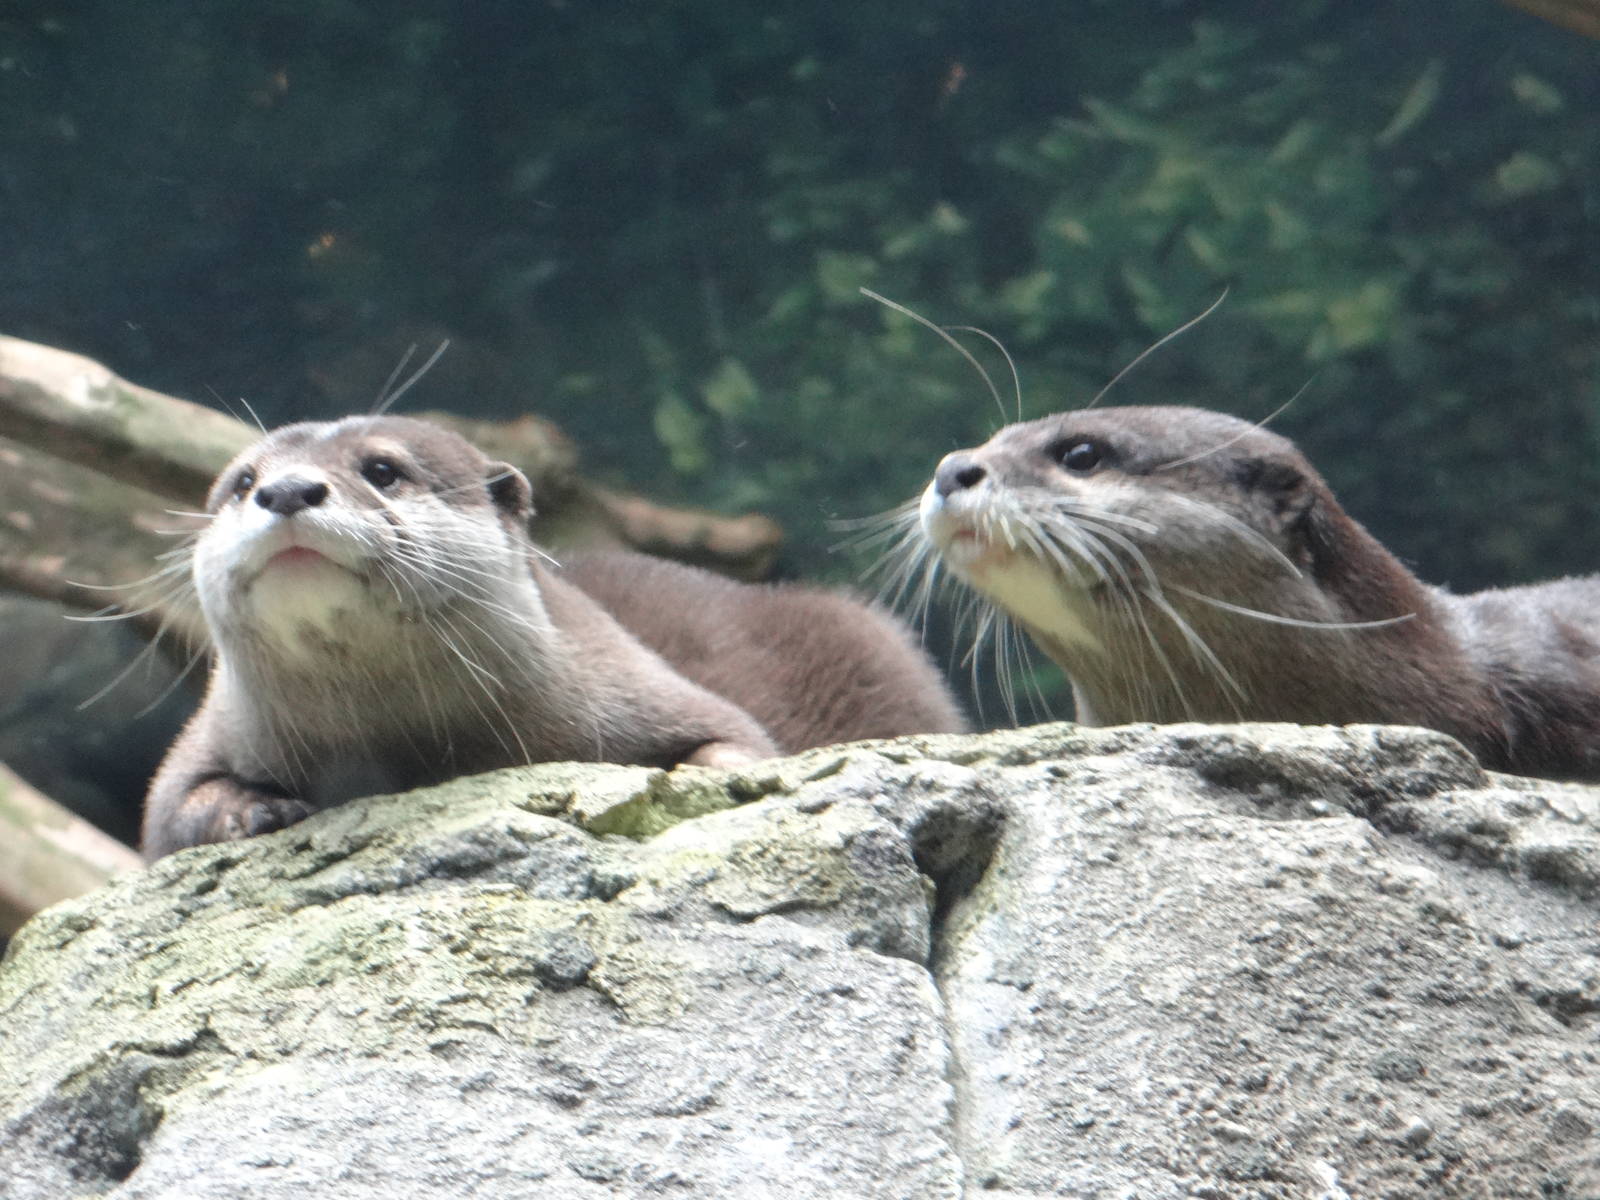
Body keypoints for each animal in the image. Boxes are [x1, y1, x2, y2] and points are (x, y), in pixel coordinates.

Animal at [142, 415, 964, 859]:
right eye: (243, 483)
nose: (286, 491)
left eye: (381, 469)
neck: (406, 750)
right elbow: (170, 810)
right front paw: (252, 811)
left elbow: (736, 742)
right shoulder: (215, 732)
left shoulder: (627, 677)